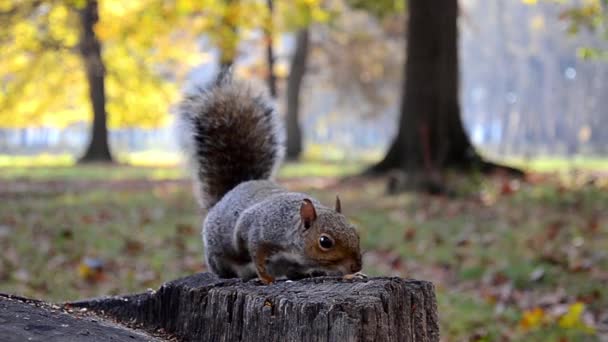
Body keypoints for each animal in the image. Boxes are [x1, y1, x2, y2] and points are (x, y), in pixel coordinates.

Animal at [178, 74, 364, 284]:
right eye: (325, 242)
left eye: (355, 233)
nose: (356, 266)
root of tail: (230, 192)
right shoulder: (257, 233)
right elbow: (257, 256)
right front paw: (266, 278)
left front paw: (349, 275)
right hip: (217, 256)